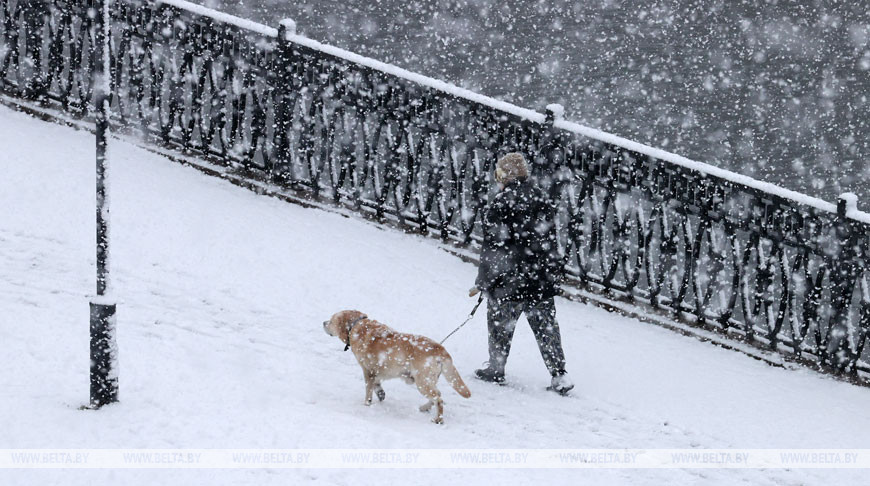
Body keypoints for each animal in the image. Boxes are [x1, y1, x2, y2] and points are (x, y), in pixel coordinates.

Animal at [326, 310, 474, 424]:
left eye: (331, 320)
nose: (323, 323)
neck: (356, 326)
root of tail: (440, 349)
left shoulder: (368, 371)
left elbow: (368, 391)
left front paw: (367, 404)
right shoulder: (376, 372)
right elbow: (377, 386)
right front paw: (381, 394)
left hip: (422, 382)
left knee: (438, 399)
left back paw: (438, 419)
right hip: (428, 380)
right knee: (437, 395)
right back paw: (424, 408)